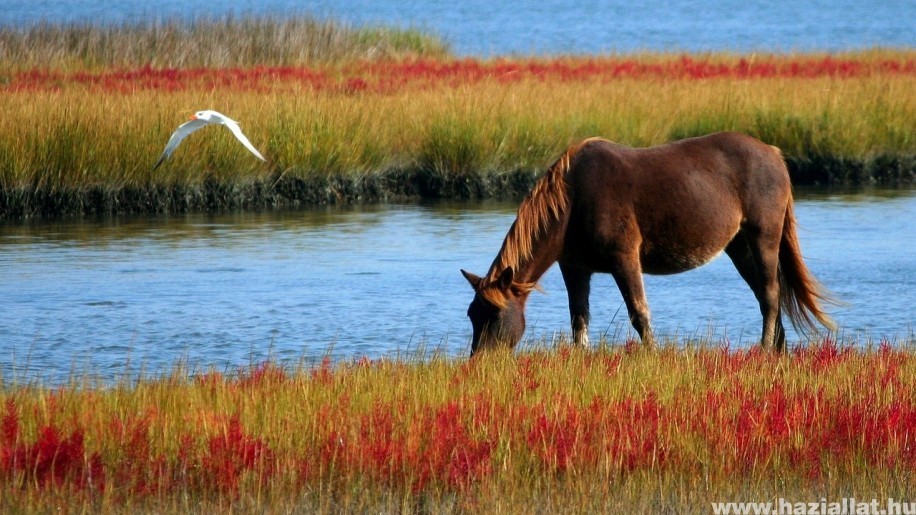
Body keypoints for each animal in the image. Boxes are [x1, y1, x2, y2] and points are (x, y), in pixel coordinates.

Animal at [462, 133, 832, 354]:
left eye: (494, 315)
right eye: (471, 314)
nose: (480, 362)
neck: (573, 200)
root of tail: (774, 154)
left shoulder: (624, 258)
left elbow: (639, 313)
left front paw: (651, 355)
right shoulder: (575, 267)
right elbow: (579, 319)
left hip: (762, 235)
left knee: (770, 293)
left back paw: (766, 349)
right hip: (738, 246)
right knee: (766, 293)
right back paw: (778, 349)